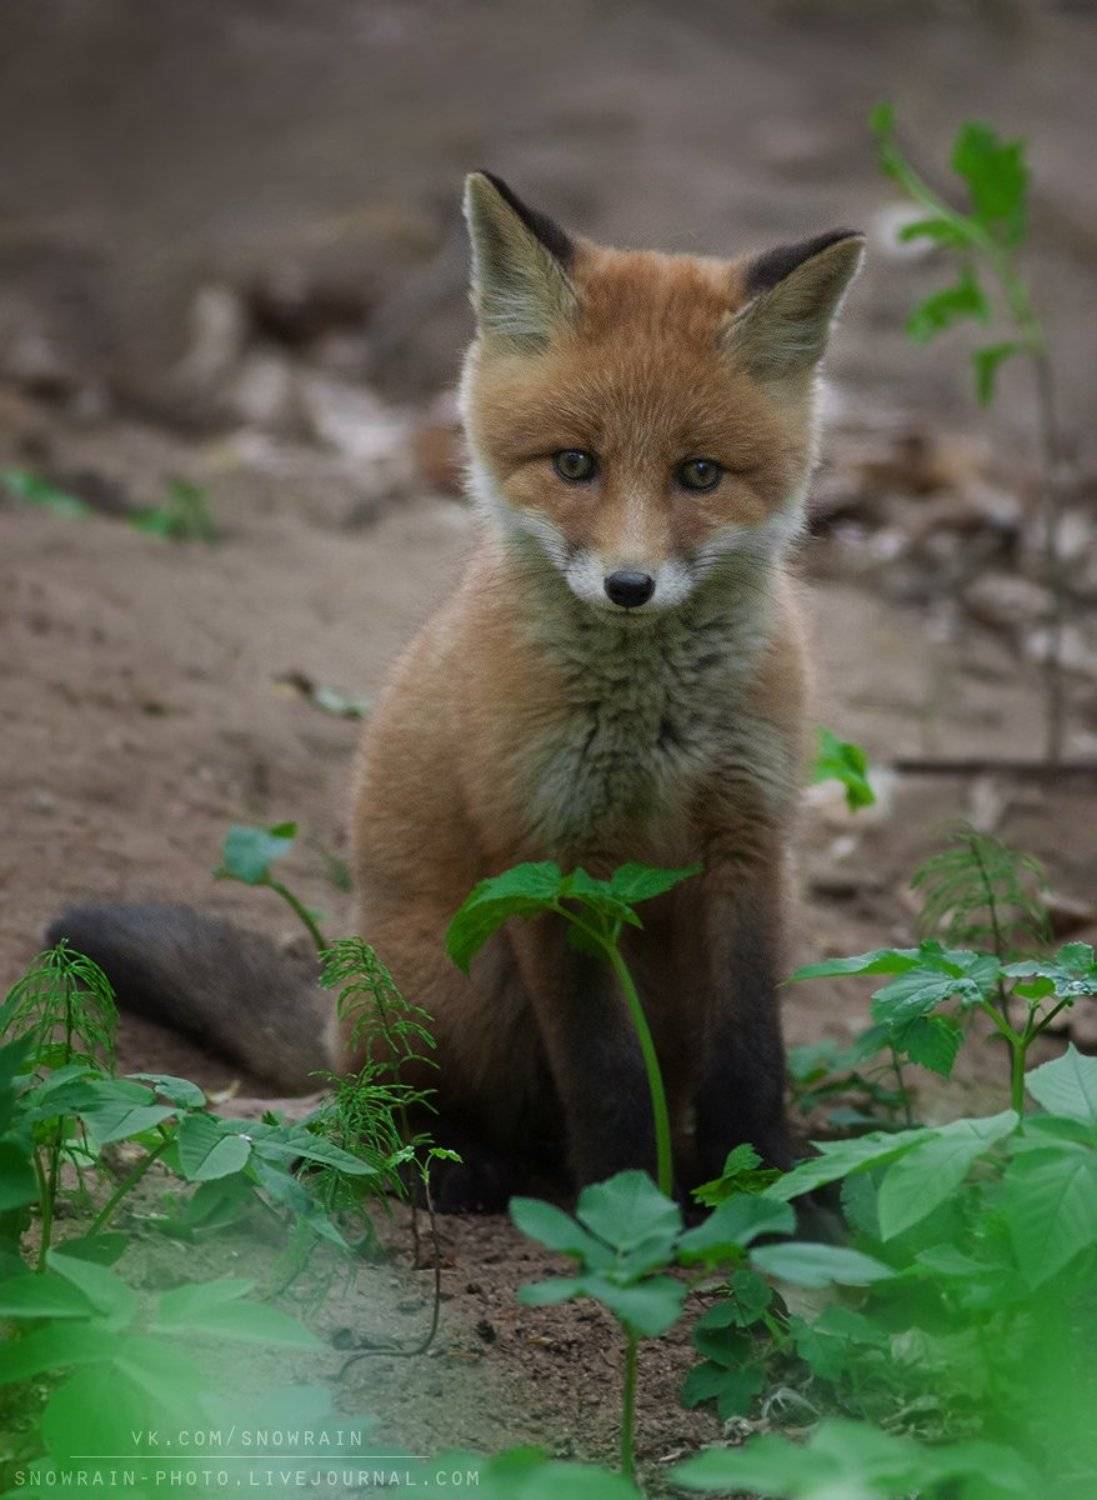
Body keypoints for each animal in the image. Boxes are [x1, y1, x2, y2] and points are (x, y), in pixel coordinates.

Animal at [51, 173, 863, 1212]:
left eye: (699, 475)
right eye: (574, 464)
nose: (628, 586)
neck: (652, 722)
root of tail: (335, 1012)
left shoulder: (748, 847)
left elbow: (751, 1061)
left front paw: (768, 1197)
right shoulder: (550, 859)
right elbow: (604, 1073)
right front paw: (622, 1209)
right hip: (458, 984)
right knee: (372, 1110)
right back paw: (464, 1162)